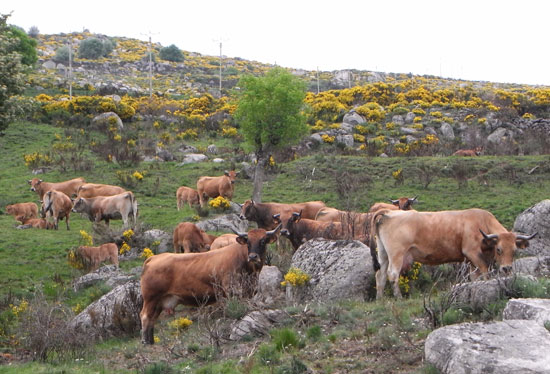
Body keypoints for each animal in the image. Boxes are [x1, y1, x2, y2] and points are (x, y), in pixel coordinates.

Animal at [140, 224, 282, 344]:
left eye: (263, 241)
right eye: (248, 242)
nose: (253, 256)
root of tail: (154, 258)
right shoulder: (232, 291)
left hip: (159, 302)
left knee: (152, 319)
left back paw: (151, 341)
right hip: (151, 298)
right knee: (145, 316)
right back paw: (146, 341)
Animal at [370, 207, 540, 298]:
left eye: (514, 251)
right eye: (499, 249)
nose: (506, 268)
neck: (481, 223)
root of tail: (388, 213)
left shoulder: (471, 262)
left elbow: (474, 277)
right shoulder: (472, 253)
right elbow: (485, 272)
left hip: (384, 254)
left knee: (380, 275)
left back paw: (380, 298)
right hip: (396, 254)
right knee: (392, 274)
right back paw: (398, 297)